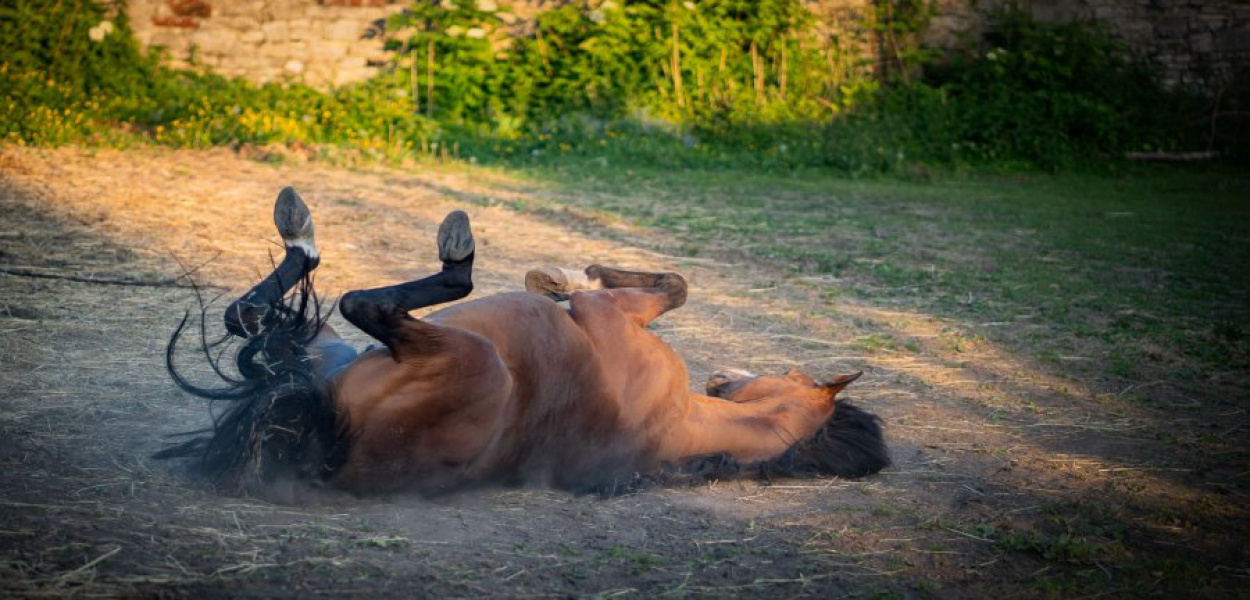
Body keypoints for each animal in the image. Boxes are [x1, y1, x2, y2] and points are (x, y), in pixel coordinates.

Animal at [161, 188, 890, 497]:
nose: (724, 375)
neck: (688, 421)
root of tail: (323, 442)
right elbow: (673, 282)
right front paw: (563, 275)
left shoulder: (612, 313)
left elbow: (673, 285)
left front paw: (567, 277)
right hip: (328, 350)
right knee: (251, 317)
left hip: (447, 350)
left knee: (353, 301)